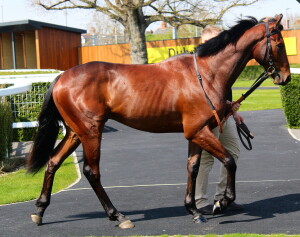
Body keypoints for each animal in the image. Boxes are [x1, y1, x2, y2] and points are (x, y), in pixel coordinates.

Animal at [27, 14, 290, 228]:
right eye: (279, 43)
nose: (286, 77)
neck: (206, 74)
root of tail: (61, 77)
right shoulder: (199, 131)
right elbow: (229, 161)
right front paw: (221, 203)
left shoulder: (196, 132)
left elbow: (193, 168)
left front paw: (194, 210)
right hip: (91, 132)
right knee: (92, 171)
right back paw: (117, 216)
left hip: (75, 132)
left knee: (53, 162)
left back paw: (40, 210)